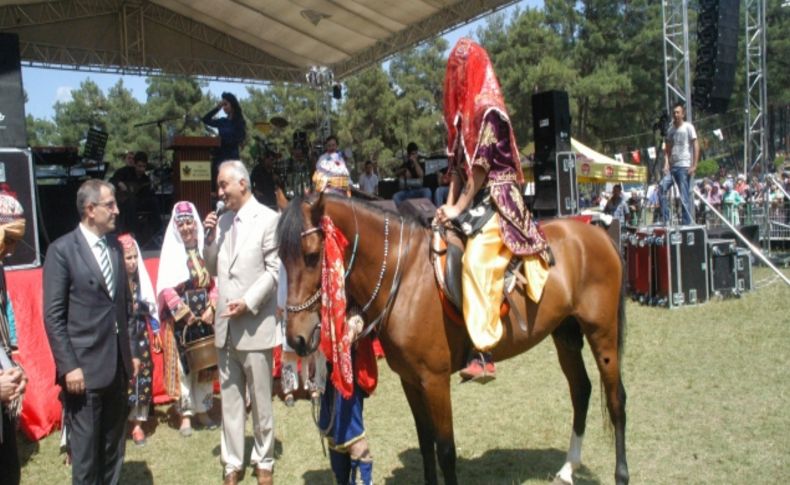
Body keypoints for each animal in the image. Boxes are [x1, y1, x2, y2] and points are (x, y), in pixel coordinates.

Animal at [278, 193, 632, 484]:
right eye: (280, 257)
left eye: (312, 256)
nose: (297, 338)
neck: (403, 276)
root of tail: (598, 234)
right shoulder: (410, 380)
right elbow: (425, 444)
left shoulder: (434, 381)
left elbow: (445, 450)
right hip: (566, 333)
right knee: (581, 390)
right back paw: (568, 468)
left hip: (602, 333)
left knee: (617, 399)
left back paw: (621, 474)